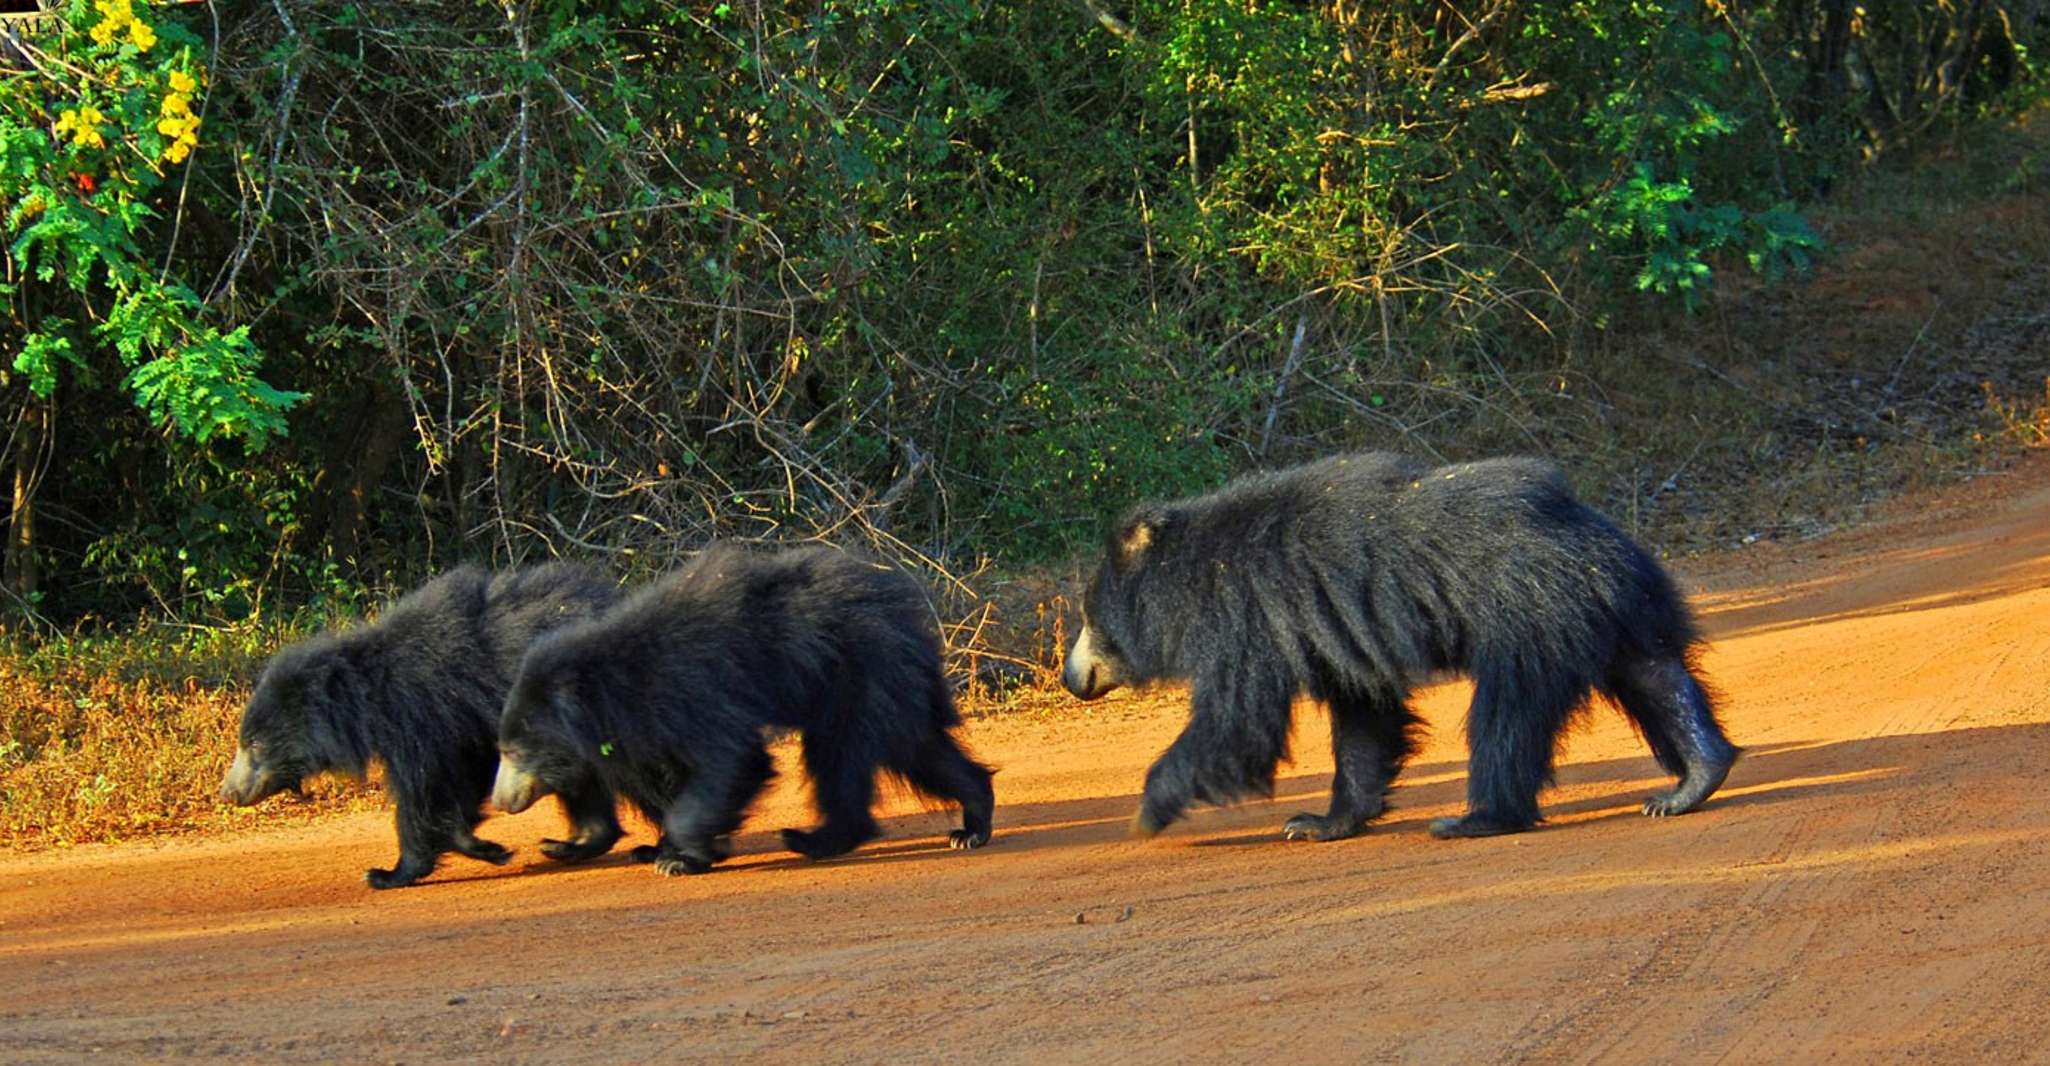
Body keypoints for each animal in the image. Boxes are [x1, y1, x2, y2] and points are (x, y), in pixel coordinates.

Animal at [218, 561, 623, 885]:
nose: (229, 792)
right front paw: (484, 847)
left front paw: (388, 874)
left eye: (253, 744)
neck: (368, 694)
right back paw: (571, 845)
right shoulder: (462, 728)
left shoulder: (422, 716)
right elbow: (463, 779)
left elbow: (424, 789)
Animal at [483, 545, 988, 877]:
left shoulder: (697, 692)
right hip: (882, 683)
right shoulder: (649, 726)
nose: (501, 802)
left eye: (513, 753)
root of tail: (907, 614)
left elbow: (734, 762)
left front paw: (680, 858)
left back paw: (814, 838)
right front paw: (656, 848)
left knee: (841, 757)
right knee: (917, 747)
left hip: (859, 674)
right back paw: (972, 822)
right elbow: (669, 777)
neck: (615, 686)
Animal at [1066, 453, 1738, 844]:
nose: (1073, 679)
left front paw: (1146, 813)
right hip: (1615, 605)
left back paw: (1475, 819)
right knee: (1656, 674)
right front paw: (1317, 823)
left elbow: (1236, 723)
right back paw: (1690, 783)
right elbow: (1365, 719)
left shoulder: (1245, 619)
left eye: (1091, 619)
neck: (1188, 574)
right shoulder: (1329, 635)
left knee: (1507, 716)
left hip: (1529, 616)